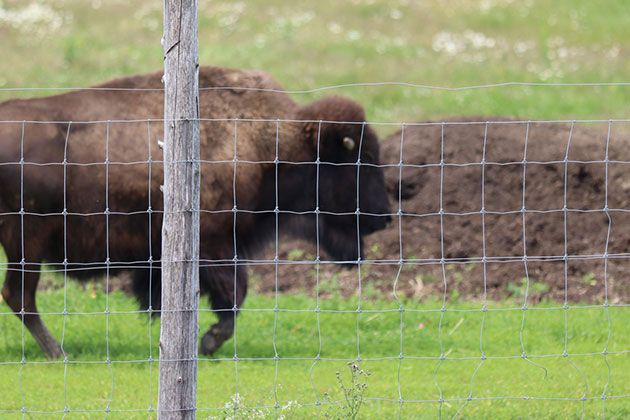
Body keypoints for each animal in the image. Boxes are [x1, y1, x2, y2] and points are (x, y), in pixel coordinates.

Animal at [0, 65, 392, 358]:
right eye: (362, 160)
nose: (385, 217)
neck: (270, 142)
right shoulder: (216, 246)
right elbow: (233, 296)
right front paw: (209, 341)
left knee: (18, 296)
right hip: (27, 243)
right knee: (20, 295)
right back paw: (58, 352)